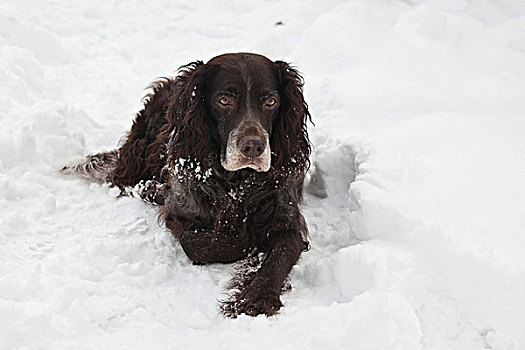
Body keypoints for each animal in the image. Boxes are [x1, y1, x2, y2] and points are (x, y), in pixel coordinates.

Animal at [60, 52, 312, 318]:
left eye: (271, 101)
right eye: (224, 100)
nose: (253, 146)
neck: (236, 183)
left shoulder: (287, 221)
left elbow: (278, 258)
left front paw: (256, 298)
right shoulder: (181, 212)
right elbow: (201, 243)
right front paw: (249, 246)